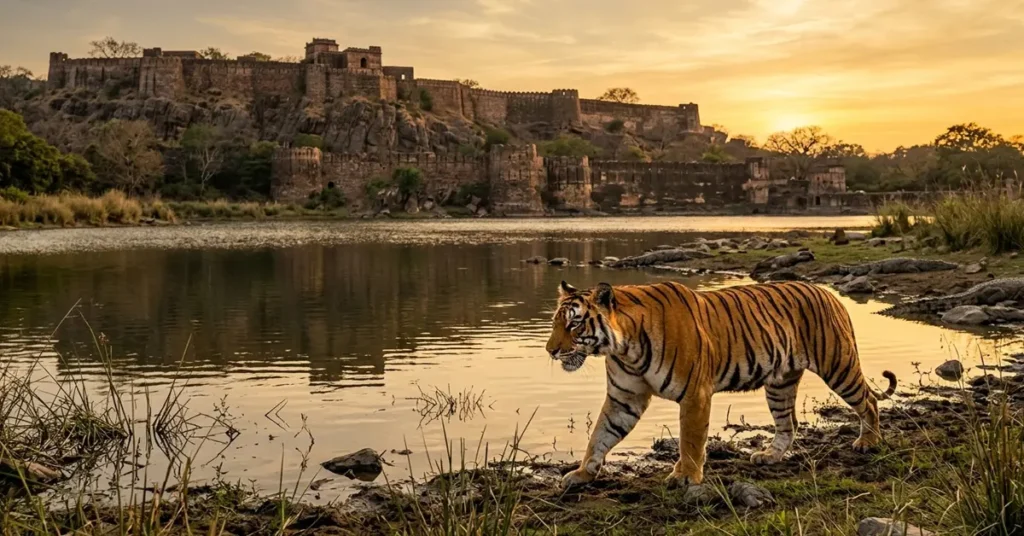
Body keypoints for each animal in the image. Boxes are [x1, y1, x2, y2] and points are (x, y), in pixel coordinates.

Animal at [546, 279, 897, 489]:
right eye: (554, 323)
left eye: (574, 324)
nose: (550, 351)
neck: (624, 347)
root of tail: (828, 293)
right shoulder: (624, 399)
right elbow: (600, 436)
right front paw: (582, 474)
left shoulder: (694, 394)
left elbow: (690, 439)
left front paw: (686, 476)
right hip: (780, 383)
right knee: (789, 423)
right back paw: (770, 456)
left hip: (838, 365)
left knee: (869, 400)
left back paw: (868, 442)